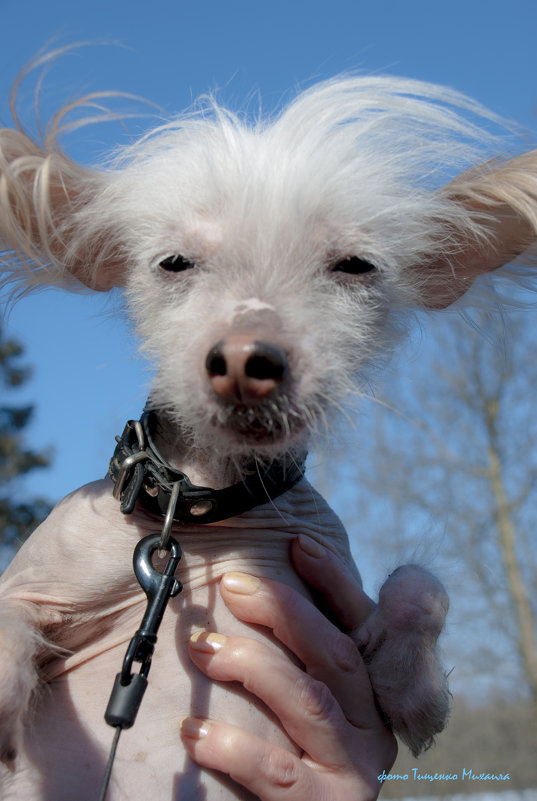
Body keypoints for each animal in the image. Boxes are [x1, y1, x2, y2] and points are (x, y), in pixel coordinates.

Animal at [0, 69, 532, 800]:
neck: (202, 510)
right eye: (173, 263)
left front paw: (415, 688)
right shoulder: (36, 588)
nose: (243, 361)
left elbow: (420, 588)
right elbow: (5, 630)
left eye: (355, 265)